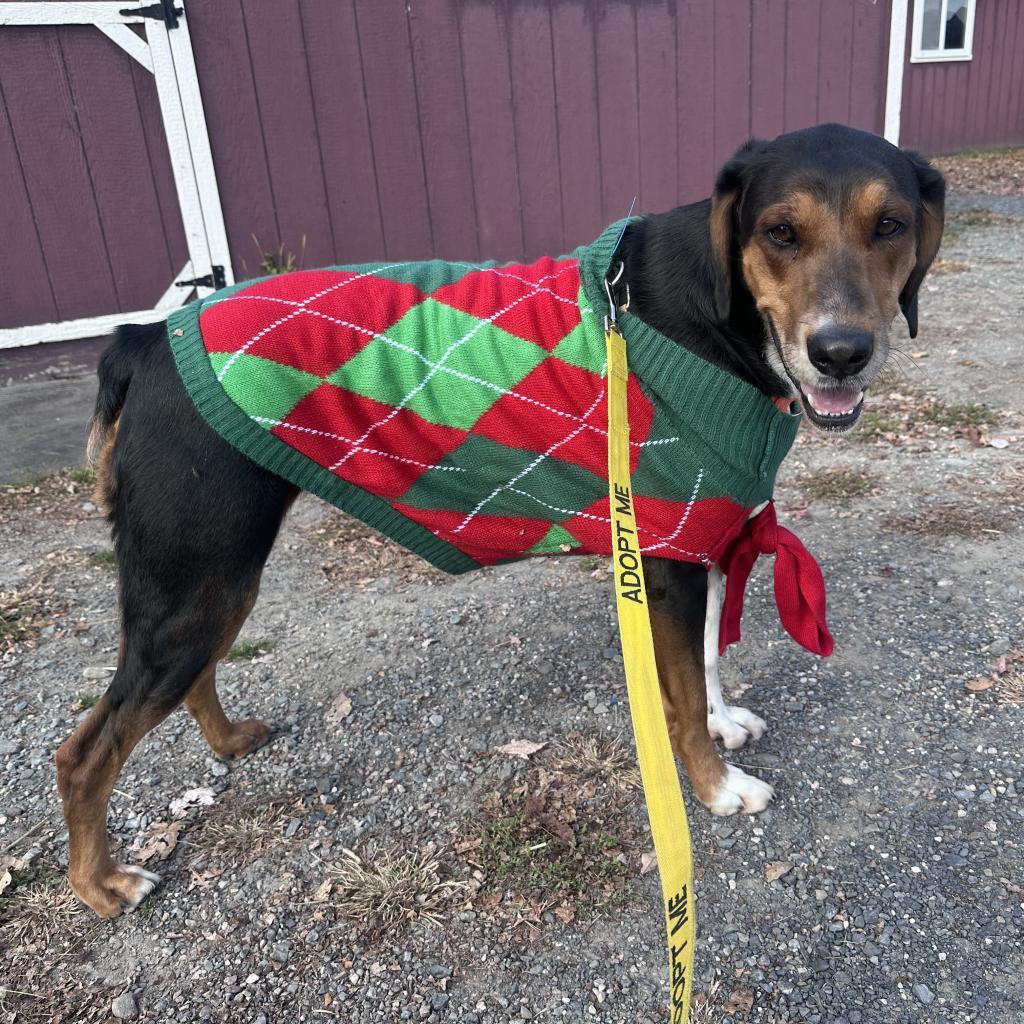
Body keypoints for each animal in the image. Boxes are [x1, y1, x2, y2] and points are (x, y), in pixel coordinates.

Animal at [59, 123, 942, 917]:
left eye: (891, 224)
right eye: (780, 232)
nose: (841, 352)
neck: (719, 317)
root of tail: (145, 339)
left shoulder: (703, 539)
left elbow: (708, 666)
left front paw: (724, 729)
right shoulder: (663, 562)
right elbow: (684, 699)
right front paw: (716, 789)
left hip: (214, 582)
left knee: (193, 678)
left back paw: (226, 741)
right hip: (194, 580)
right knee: (84, 753)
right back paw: (99, 886)